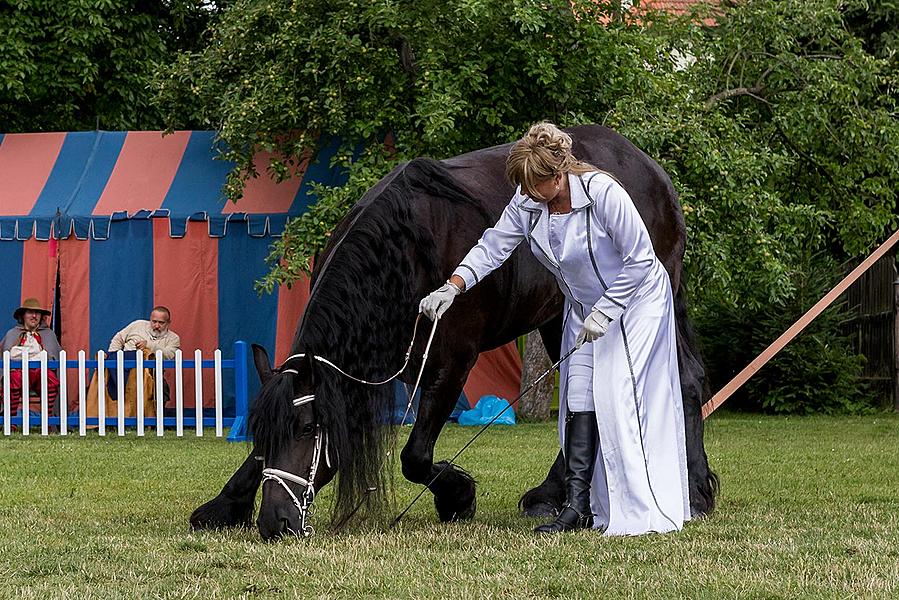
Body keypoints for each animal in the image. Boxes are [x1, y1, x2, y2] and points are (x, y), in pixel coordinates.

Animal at [190, 125, 716, 540]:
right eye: (262, 430)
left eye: (306, 429)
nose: (274, 523)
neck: (403, 255)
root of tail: (650, 167)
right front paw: (223, 505)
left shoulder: (452, 363)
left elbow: (415, 457)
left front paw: (457, 496)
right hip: (560, 319)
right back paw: (553, 495)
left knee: (686, 381)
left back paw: (692, 491)